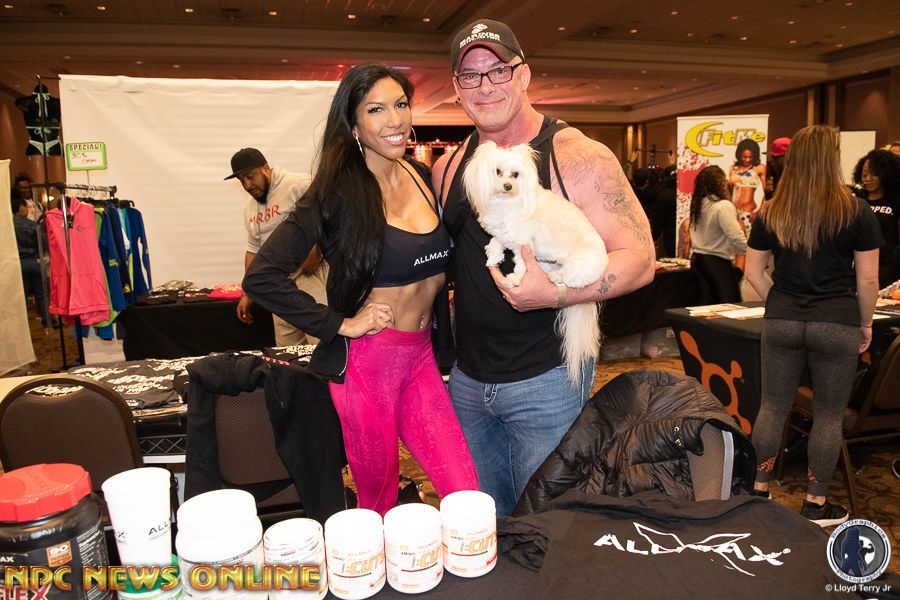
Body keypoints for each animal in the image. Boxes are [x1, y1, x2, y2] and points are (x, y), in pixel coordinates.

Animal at [463, 141, 609, 384]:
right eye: (497, 171)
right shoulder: (505, 234)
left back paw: (554, 276)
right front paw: (493, 256)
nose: (507, 185)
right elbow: (496, 241)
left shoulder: (524, 242)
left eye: (515, 175)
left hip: (579, 266)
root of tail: (604, 262)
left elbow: (521, 263)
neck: (506, 203)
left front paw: (514, 278)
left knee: (570, 279)